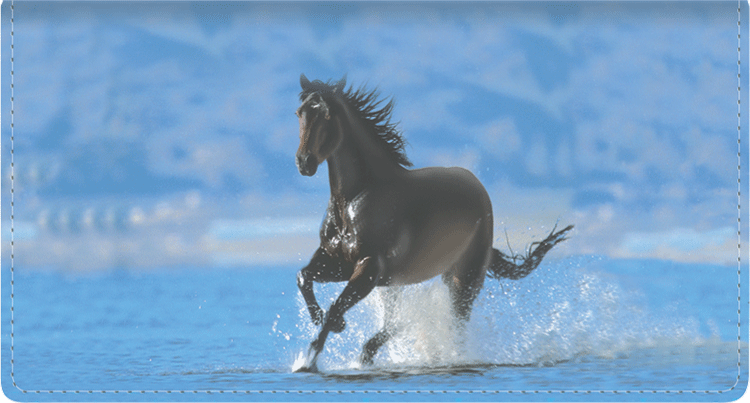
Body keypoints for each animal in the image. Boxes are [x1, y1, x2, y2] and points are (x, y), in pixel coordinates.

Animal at [294, 75, 576, 372]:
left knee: (450, 327)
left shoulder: (369, 267)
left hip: (463, 279)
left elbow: (337, 305)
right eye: (300, 113)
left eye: (327, 114)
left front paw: (308, 359)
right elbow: (304, 277)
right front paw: (323, 320)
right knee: (397, 324)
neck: (354, 200)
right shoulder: (340, 262)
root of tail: (478, 188)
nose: (304, 163)